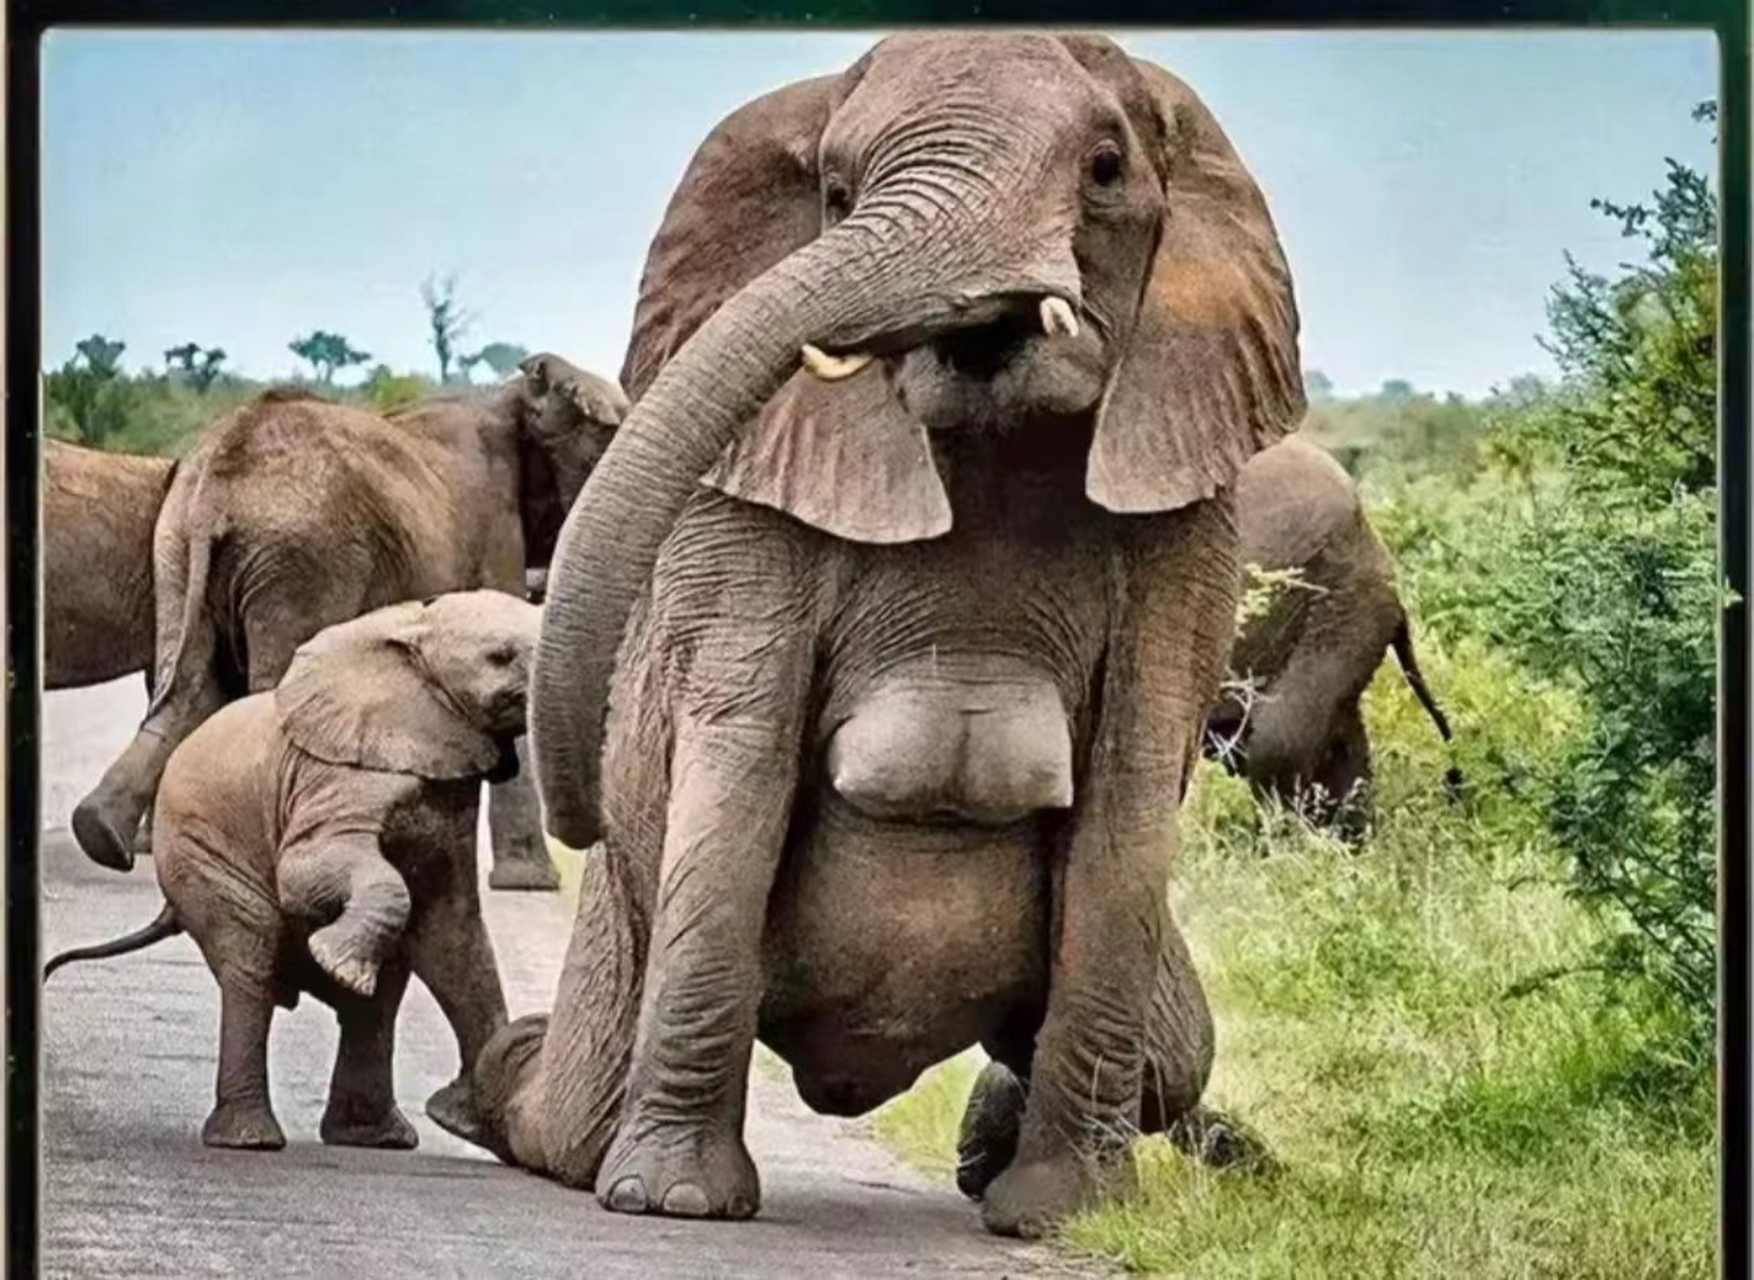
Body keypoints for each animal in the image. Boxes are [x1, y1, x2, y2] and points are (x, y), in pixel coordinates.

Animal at [43, 591, 540, 1152]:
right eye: (499, 656)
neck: (411, 630)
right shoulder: (338, 775)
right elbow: (304, 874)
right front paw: (335, 961)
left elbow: (454, 932)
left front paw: (465, 1121)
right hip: (202, 861)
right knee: (250, 964)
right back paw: (252, 1139)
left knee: (381, 990)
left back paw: (376, 1137)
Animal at [69, 353, 627, 893]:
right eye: (608, 438)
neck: (512, 395)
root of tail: (215, 485)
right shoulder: (495, 529)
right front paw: (531, 885)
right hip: (301, 560)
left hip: (176, 549)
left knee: (186, 691)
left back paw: (101, 836)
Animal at [438, 32, 1307, 1240]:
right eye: (839, 192)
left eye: (1104, 170)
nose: (583, 813)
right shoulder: (751, 521)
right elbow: (738, 771)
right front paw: (672, 1202)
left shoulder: (1188, 532)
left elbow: (1129, 802)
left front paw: (1064, 1219)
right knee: (567, 1113)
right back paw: (491, 1100)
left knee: (1178, 1050)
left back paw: (990, 1148)